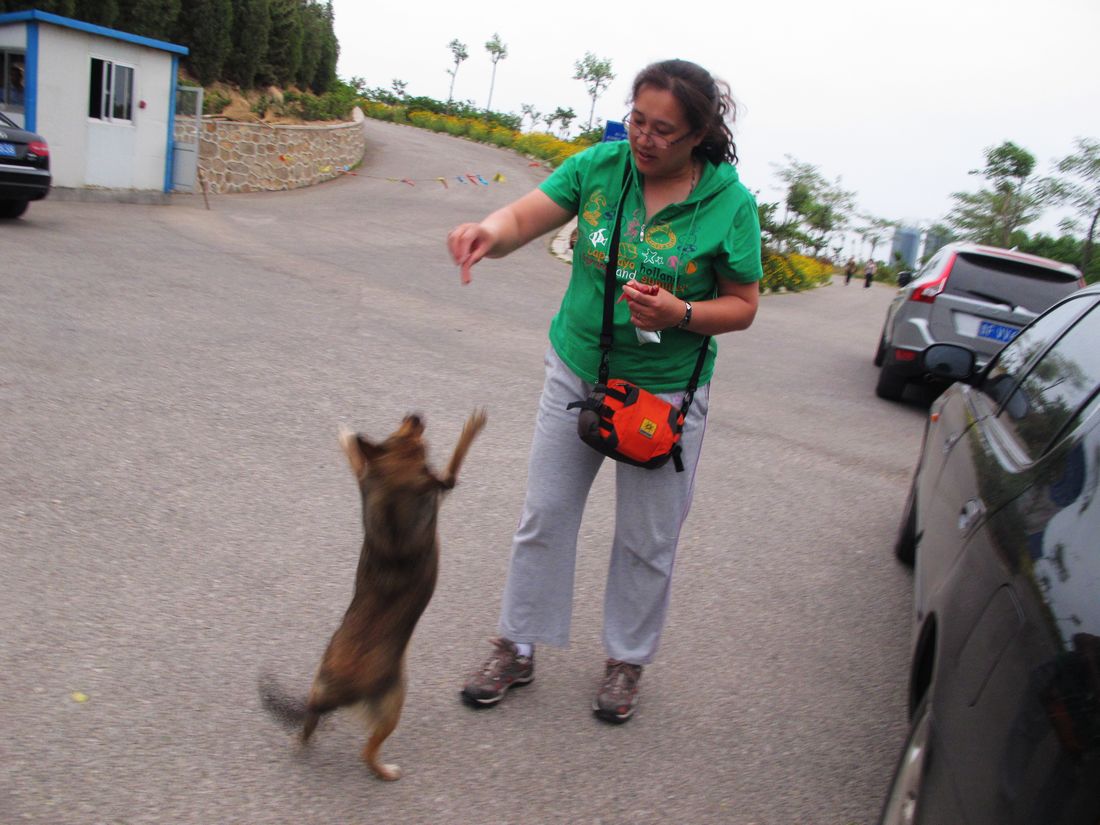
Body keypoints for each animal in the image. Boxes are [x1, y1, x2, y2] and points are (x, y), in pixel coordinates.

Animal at [259, 411, 488, 783]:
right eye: (407, 430)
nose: (415, 414)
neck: (391, 487)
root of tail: (337, 694)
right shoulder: (440, 483)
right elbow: (456, 457)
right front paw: (472, 426)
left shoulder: (366, 479)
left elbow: (358, 461)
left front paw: (348, 440)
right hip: (393, 703)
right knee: (367, 752)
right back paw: (385, 771)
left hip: (319, 687)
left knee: (309, 725)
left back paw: (302, 740)